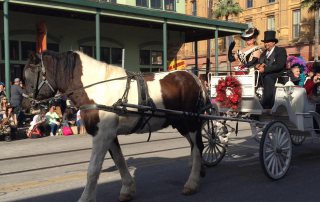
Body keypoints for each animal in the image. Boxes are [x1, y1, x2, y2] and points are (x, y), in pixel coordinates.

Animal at [23, 49, 209, 201]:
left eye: (29, 73)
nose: (25, 104)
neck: (97, 88)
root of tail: (195, 78)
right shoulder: (109, 134)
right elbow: (119, 160)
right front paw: (127, 189)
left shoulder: (102, 135)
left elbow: (93, 169)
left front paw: (86, 198)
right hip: (181, 123)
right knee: (193, 146)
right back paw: (199, 171)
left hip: (191, 122)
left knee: (198, 147)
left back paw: (192, 182)